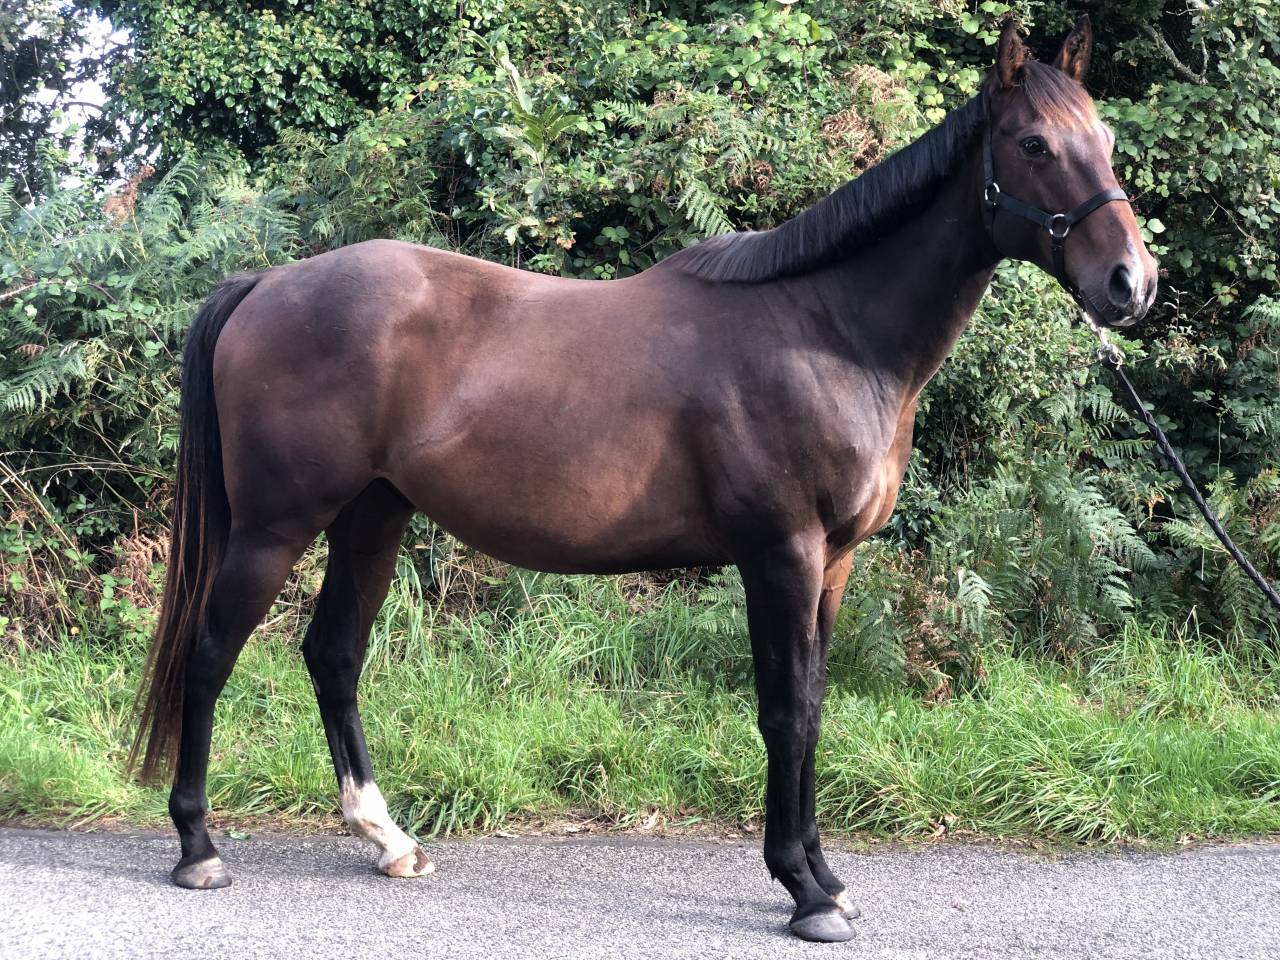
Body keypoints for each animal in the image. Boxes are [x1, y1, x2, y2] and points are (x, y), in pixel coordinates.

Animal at [131, 17, 1156, 943]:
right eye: (1033, 144)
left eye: (1106, 140)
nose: (1131, 284)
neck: (828, 329)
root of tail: (267, 283)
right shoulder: (780, 555)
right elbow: (785, 711)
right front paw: (804, 893)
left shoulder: (833, 564)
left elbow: (815, 706)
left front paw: (825, 874)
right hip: (276, 525)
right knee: (211, 652)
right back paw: (198, 848)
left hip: (372, 519)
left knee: (333, 656)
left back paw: (388, 839)